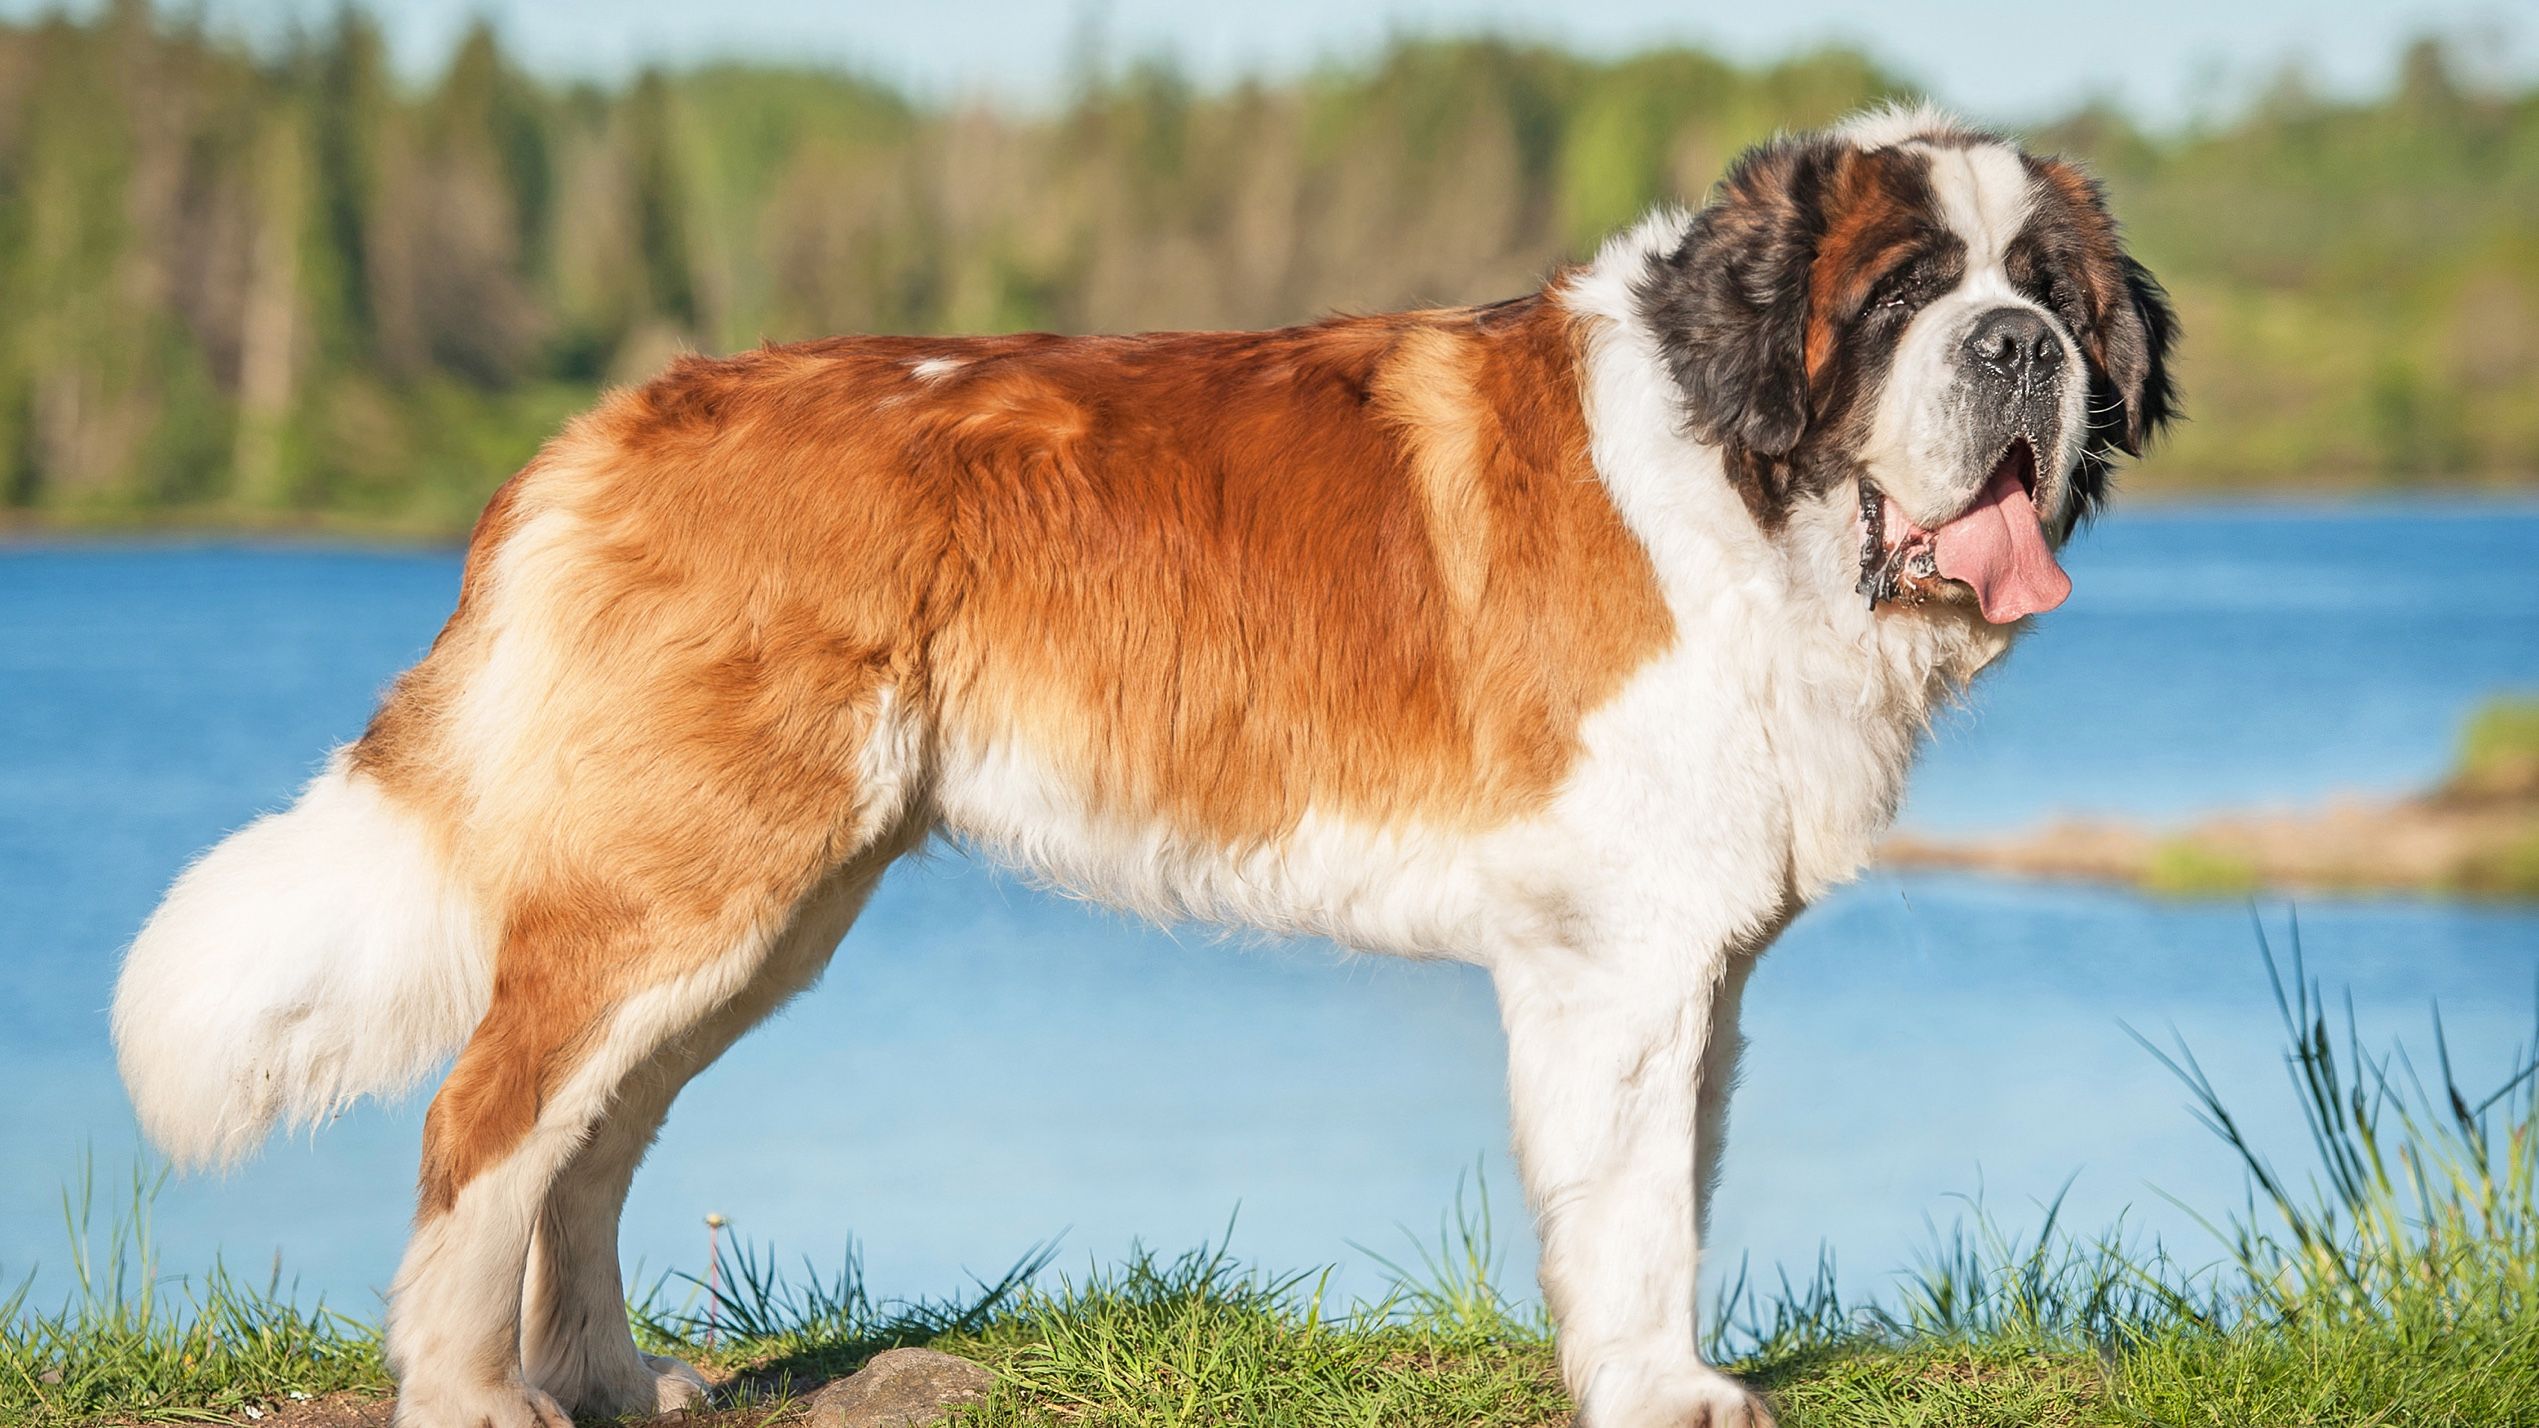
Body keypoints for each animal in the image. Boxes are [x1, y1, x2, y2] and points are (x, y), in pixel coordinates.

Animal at [119, 105, 2173, 1422]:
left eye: (2046, 289)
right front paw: (1661, 1392)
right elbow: (1637, 1203)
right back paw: (472, 1394)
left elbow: (1663, 1188)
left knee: (590, 1140)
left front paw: (1643, 1368)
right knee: (487, 1123)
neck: (1743, 479)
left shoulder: (1692, 963)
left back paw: (610, 1378)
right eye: (1900, 293)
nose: (2015, 347)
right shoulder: (1620, 960)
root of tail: (614, 420)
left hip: (759, 909)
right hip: (691, 878)